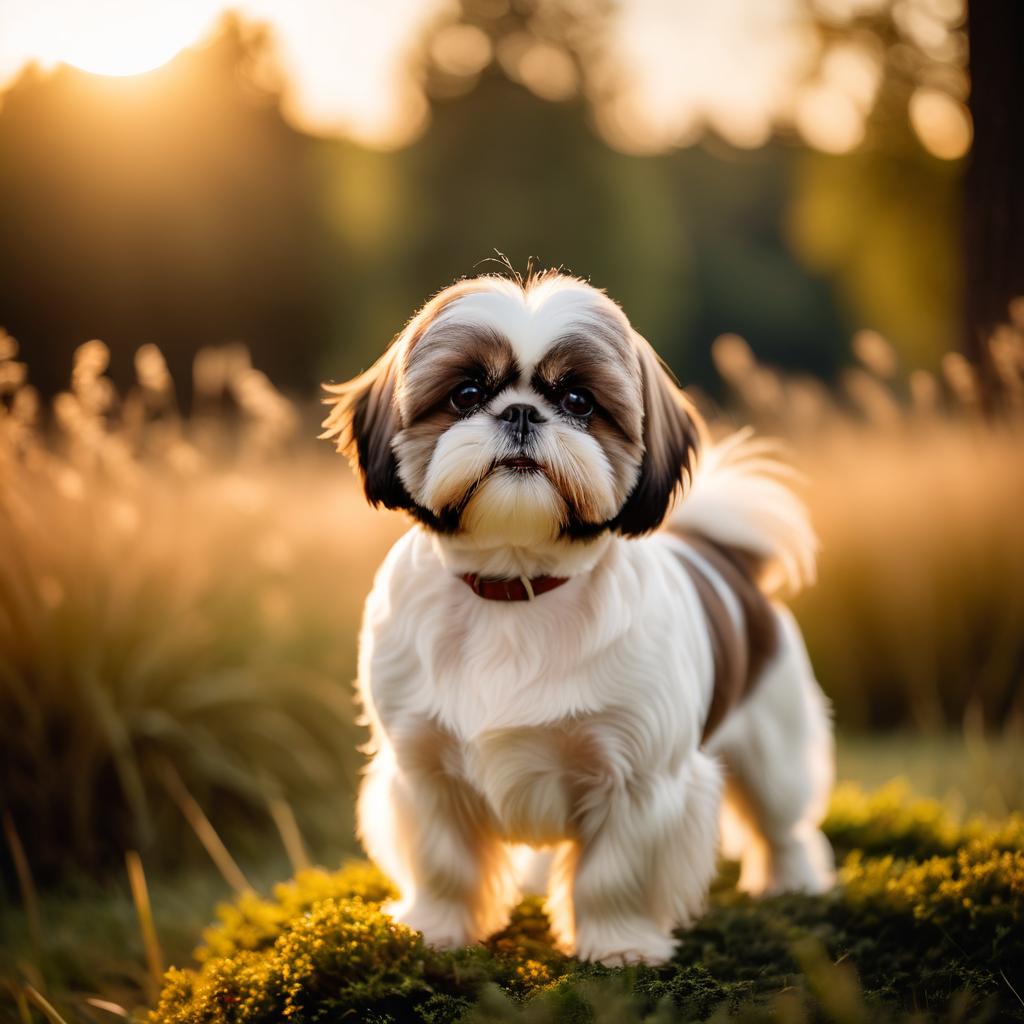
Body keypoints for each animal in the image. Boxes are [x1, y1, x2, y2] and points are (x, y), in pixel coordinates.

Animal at [323, 268, 835, 962]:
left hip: (772, 742)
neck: (517, 587)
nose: (520, 411)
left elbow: (612, 872)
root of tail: (724, 556)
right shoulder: (422, 768)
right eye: (466, 394)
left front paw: (618, 944)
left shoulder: (638, 777)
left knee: (782, 822)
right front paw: (437, 927)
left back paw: (793, 880)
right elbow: (445, 862)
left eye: (578, 401)